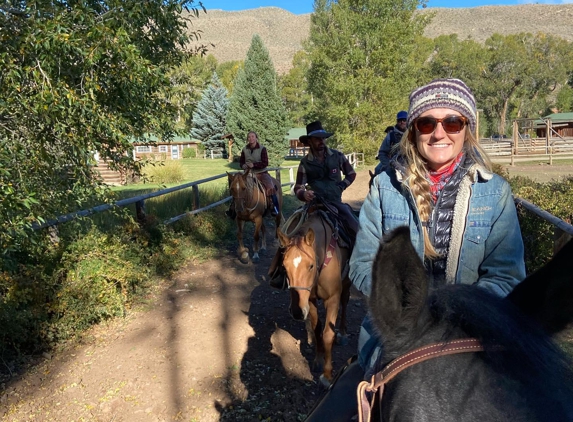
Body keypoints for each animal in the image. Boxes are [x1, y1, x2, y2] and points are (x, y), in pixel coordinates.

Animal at [276, 213, 350, 388]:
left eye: (310, 266)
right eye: (284, 267)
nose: (296, 312)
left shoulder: (332, 299)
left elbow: (328, 334)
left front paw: (327, 375)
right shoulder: (310, 300)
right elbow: (317, 329)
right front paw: (317, 360)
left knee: (345, 302)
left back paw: (343, 332)